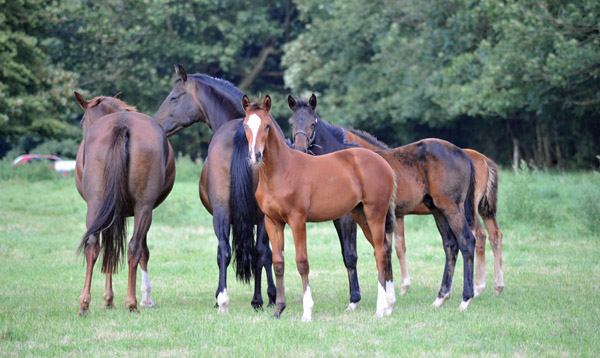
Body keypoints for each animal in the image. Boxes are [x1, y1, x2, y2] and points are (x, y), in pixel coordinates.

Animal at [73, 91, 175, 314]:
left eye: (82, 121)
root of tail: (122, 124)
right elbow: (128, 251)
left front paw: (109, 299)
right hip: (137, 208)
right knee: (124, 247)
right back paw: (123, 302)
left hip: (108, 206)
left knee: (104, 246)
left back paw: (93, 303)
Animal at [240, 96, 398, 322]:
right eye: (246, 125)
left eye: (267, 126)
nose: (255, 155)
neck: (280, 171)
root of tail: (383, 162)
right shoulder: (273, 222)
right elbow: (278, 263)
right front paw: (278, 310)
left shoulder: (297, 221)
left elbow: (302, 262)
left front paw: (307, 312)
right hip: (361, 215)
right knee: (385, 249)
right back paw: (389, 305)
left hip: (375, 214)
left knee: (379, 253)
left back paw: (380, 308)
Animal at [288, 95, 480, 310]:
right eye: (292, 123)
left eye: (312, 123)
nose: (300, 149)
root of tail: (463, 154)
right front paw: (387, 297)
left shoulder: (348, 219)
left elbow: (351, 255)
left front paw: (355, 300)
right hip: (437, 209)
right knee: (450, 245)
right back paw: (441, 297)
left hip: (452, 208)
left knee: (467, 241)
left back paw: (466, 298)